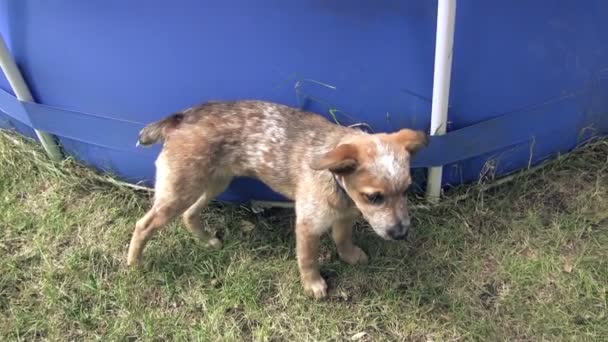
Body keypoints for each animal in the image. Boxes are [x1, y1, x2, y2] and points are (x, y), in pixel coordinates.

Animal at [128, 100, 428, 298]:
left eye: (406, 190)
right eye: (374, 197)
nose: (401, 233)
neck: (338, 187)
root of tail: (182, 117)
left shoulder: (344, 216)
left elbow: (343, 239)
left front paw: (349, 255)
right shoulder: (308, 224)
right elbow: (308, 258)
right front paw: (313, 284)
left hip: (214, 182)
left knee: (190, 214)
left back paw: (207, 240)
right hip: (180, 190)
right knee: (144, 225)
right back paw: (134, 264)